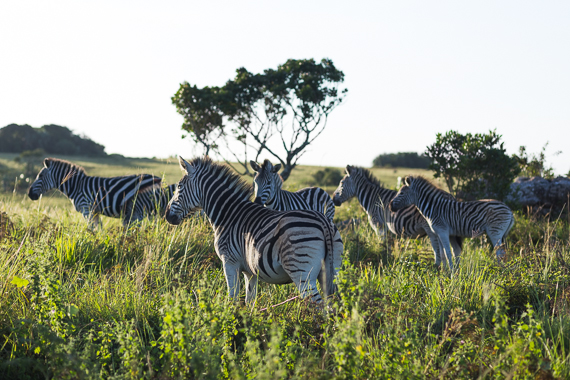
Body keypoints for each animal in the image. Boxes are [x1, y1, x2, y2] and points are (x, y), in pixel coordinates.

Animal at [29, 158, 162, 227]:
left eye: (40, 176)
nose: (29, 194)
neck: (76, 186)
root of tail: (158, 179)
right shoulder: (95, 211)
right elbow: (99, 229)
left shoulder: (86, 208)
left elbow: (91, 229)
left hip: (147, 210)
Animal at [164, 157, 342, 306]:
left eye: (179, 187)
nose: (167, 216)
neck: (228, 214)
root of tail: (323, 222)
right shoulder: (250, 271)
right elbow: (250, 301)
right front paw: (248, 323)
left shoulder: (229, 262)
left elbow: (233, 298)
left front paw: (231, 320)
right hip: (331, 272)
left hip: (302, 273)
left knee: (319, 307)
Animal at [330, 166, 460, 268]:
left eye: (341, 183)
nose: (333, 200)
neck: (373, 198)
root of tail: (450, 196)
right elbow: (388, 245)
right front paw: (388, 258)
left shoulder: (379, 225)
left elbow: (382, 243)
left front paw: (383, 257)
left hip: (430, 228)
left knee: (437, 247)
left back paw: (437, 267)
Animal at [386, 176, 516, 270]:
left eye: (401, 193)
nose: (390, 206)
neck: (434, 208)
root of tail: (509, 209)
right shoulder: (437, 232)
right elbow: (443, 254)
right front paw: (444, 273)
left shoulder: (443, 231)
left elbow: (448, 253)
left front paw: (452, 274)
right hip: (501, 233)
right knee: (503, 253)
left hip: (495, 232)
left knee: (500, 253)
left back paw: (500, 272)